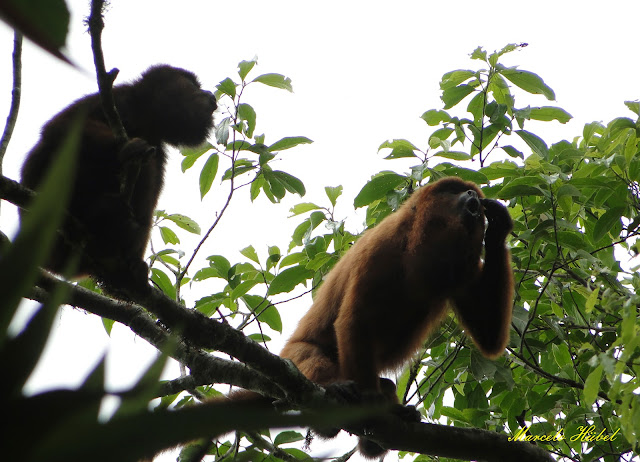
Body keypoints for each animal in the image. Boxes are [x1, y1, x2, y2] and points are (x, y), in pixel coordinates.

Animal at [20, 65, 217, 288]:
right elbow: (60, 127)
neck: (147, 120)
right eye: (193, 85)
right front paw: (124, 149)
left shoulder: (158, 146)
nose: (211, 96)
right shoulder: (116, 97)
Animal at [278, 176, 514, 458]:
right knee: (311, 357)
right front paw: (369, 401)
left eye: (472, 192)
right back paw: (337, 390)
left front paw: (499, 227)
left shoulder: (465, 269)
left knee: (388, 385)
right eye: (452, 190)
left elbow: (489, 338)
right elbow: (354, 320)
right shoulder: (383, 244)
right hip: (294, 357)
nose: (471, 193)